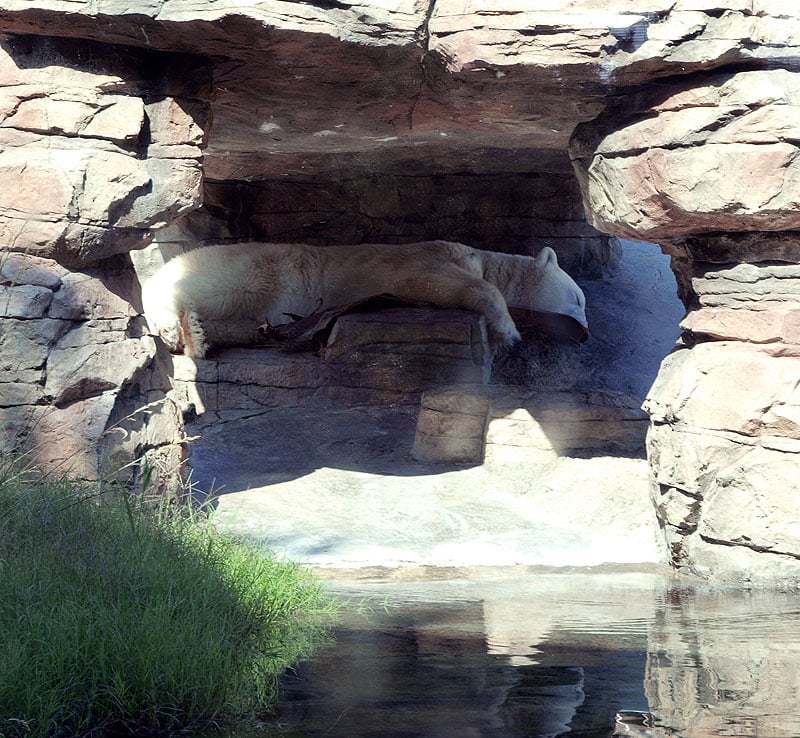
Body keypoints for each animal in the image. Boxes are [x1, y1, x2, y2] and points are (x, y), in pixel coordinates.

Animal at [140, 240, 588, 359]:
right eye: (581, 299)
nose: (585, 334)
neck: (484, 260)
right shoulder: (427, 258)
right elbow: (431, 283)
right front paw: (507, 330)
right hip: (257, 268)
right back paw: (181, 328)